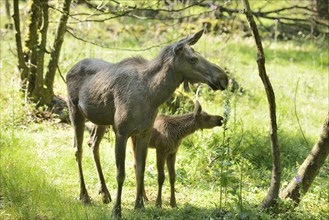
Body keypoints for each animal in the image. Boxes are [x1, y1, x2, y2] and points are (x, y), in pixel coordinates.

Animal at [65, 29, 227, 218]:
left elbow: (140, 169)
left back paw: (104, 193)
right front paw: (117, 210)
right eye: (193, 59)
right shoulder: (121, 131)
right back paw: (84, 196)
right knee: (78, 149)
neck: (152, 96)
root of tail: (69, 70)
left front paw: (140, 204)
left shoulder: (144, 133)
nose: (223, 78)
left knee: (93, 144)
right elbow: (121, 173)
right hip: (75, 110)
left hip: (101, 120)